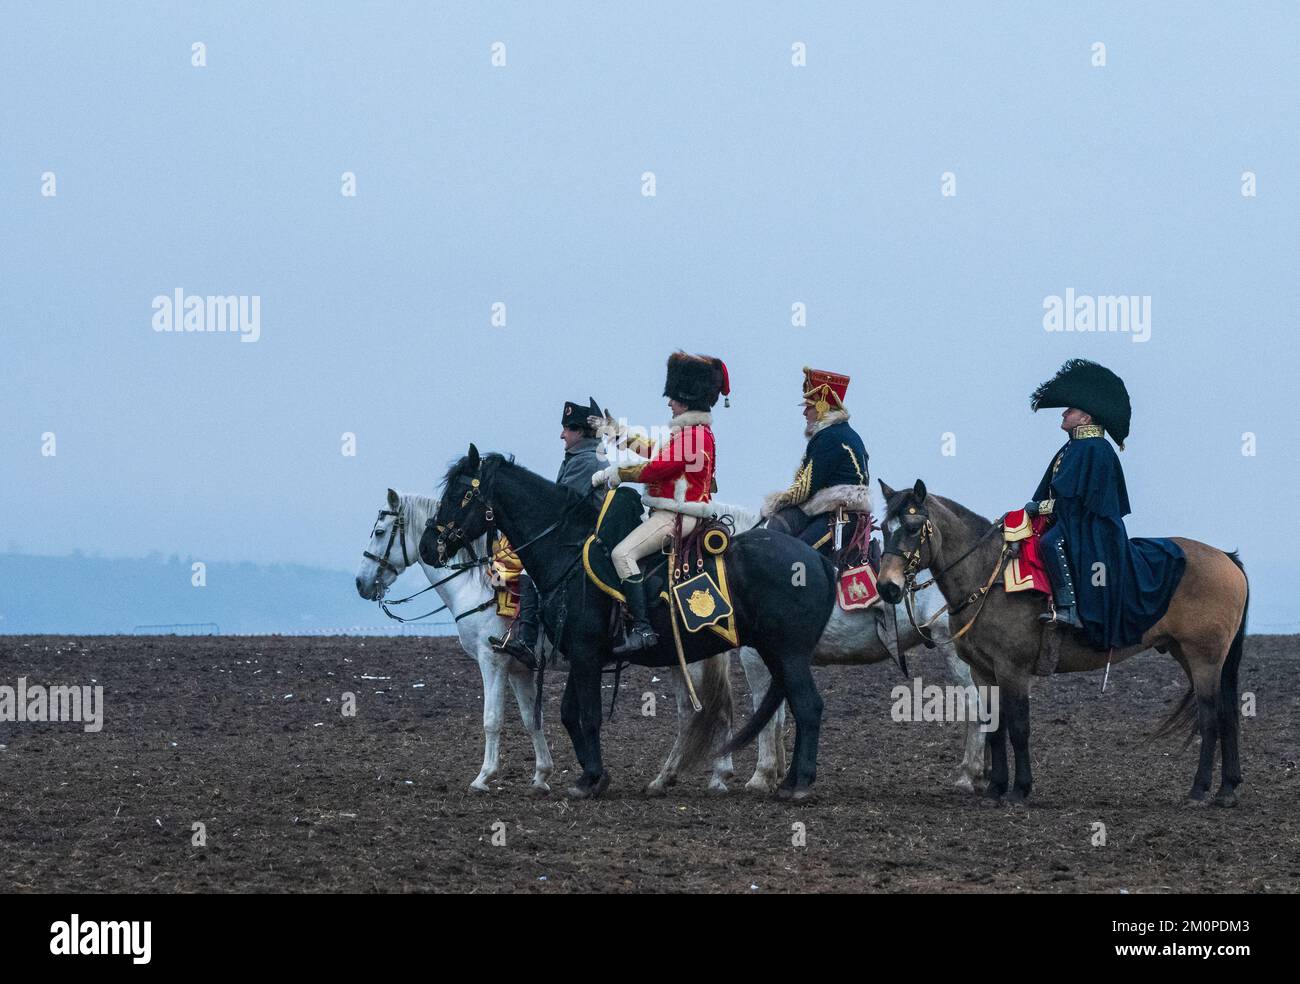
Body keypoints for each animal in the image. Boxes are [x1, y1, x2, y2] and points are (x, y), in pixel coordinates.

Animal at [356, 488, 743, 795]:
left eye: (379, 531)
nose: (361, 583)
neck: (475, 586)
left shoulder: (492, 661)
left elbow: (492, 718)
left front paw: (483, 778)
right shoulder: (519, 667)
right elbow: (532, 719)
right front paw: (541, 775)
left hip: (689, 662)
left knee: (701, 714)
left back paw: (696, 777)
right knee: (706, 713)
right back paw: (694, 776)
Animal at [421, 444, 837, 800]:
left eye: (460, 494)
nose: (428, 547)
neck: (567, 552)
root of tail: (815, 559)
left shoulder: (578, 655)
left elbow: (586, 715)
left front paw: (589, 779)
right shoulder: (577, 655)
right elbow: (568, 713)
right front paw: (588, 776)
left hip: (787, 654)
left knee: (807, 706)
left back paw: (797, 784)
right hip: (770, 653)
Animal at [873, 478, 1248, 805]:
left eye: (911, 528)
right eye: (884, 529)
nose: (887, 587)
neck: (988, 577)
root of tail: (1226, 558)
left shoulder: (1012, 670)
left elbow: (1019, 727)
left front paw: (1019, 790)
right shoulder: (984, 672)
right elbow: (994, 727)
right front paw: (995, 790)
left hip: (1204, 658)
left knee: (1210, 717)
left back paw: (1199, 790)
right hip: (1189, 654)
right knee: (1227, 713)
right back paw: (1227, 790)